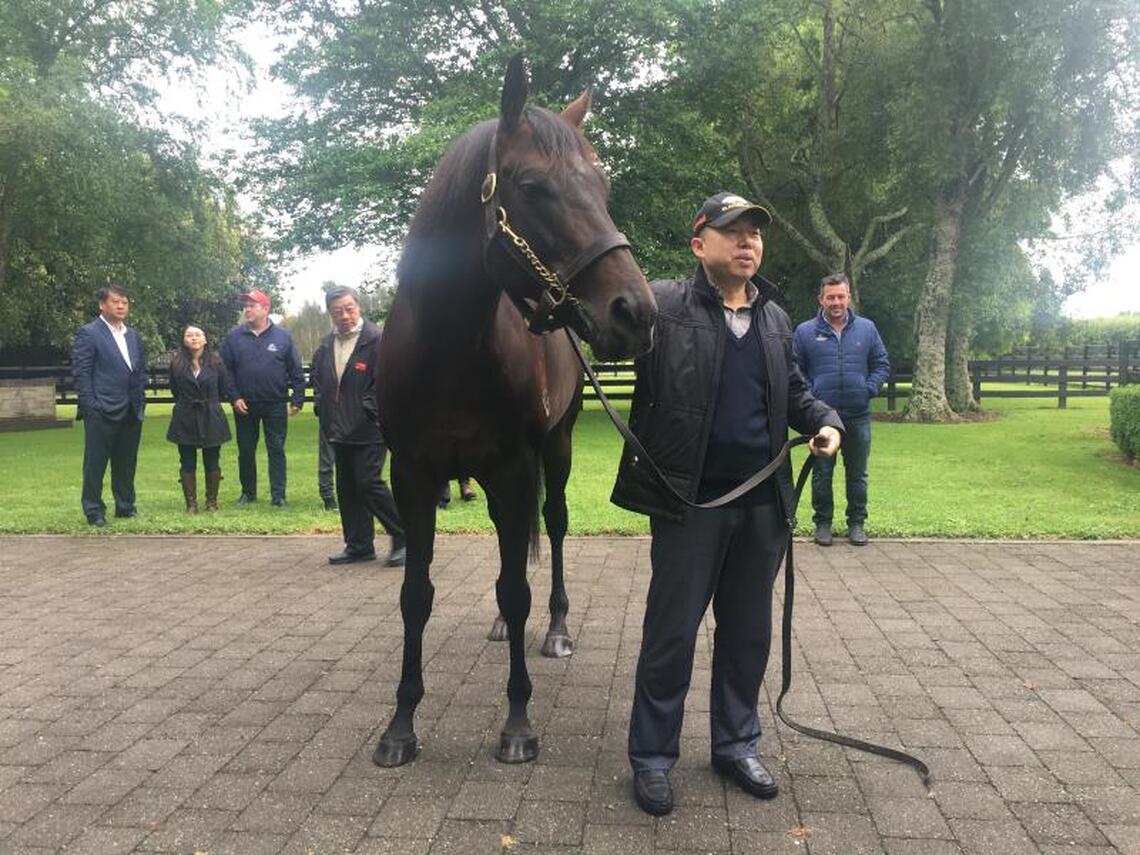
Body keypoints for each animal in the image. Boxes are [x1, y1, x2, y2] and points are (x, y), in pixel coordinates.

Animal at [373, 56, 657, 767]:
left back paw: (555, 630)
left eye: (602, 185)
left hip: (555, 453)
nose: (635, 314)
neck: (448, 349)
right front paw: (401, 725)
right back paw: (504, 627)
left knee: (549, 530)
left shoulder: (516, 465)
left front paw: (519, 723)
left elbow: (518, 584)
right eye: (532, 186)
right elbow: (415, 595)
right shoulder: (412, 475)